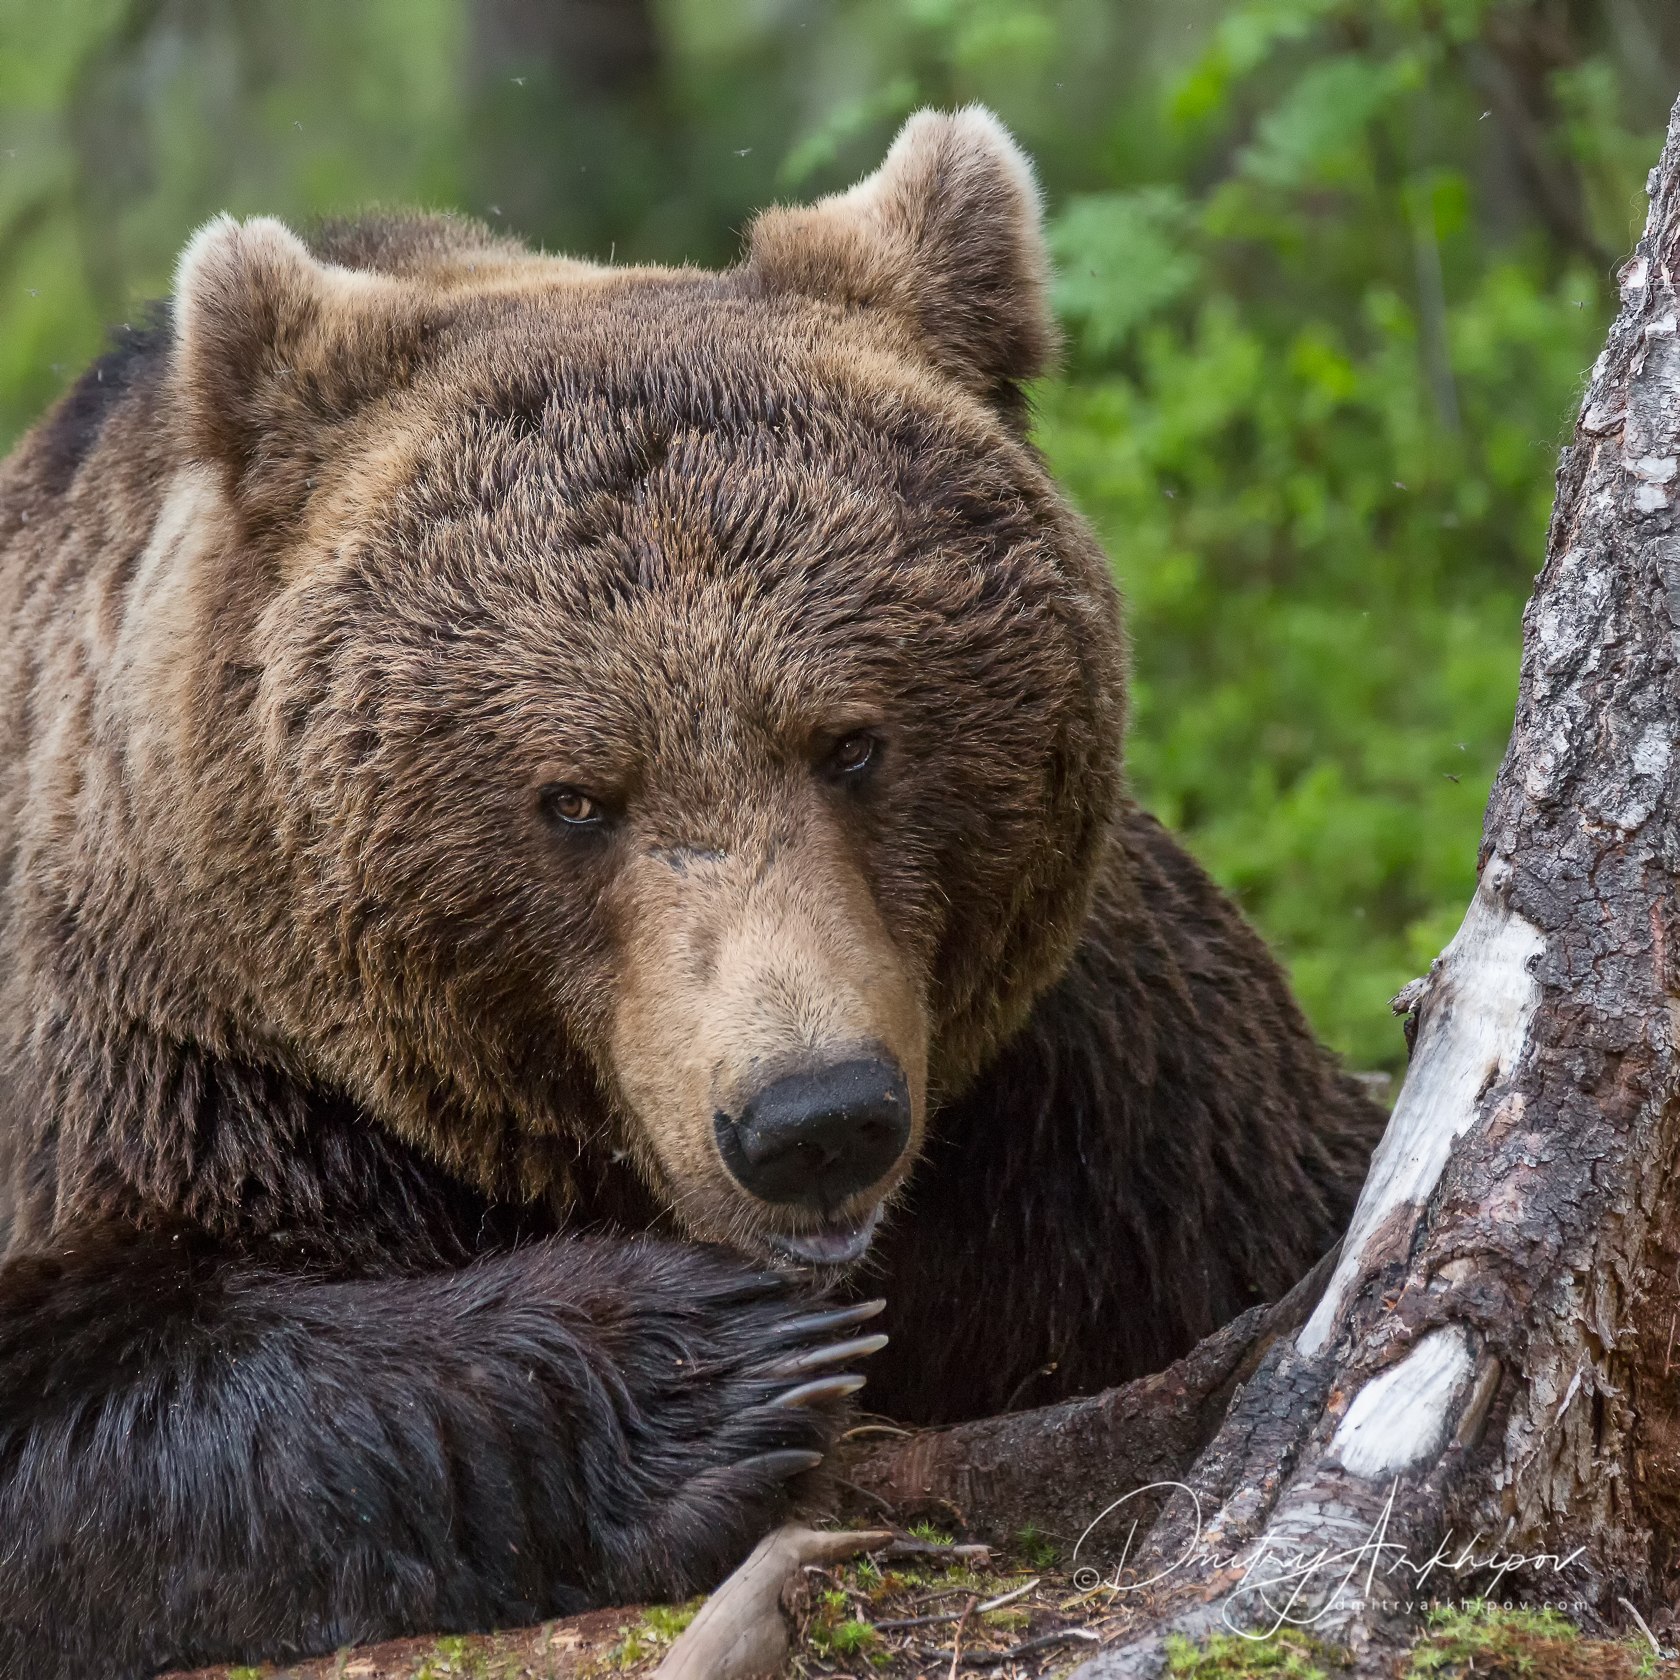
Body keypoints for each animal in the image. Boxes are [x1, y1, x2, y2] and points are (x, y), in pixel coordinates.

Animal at [0, 108, 1377, 1680]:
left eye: (852, 741)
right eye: (576, 797)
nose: (813, 1120)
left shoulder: (1111, 1104)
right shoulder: (181, 1064)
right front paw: (721, 1364)